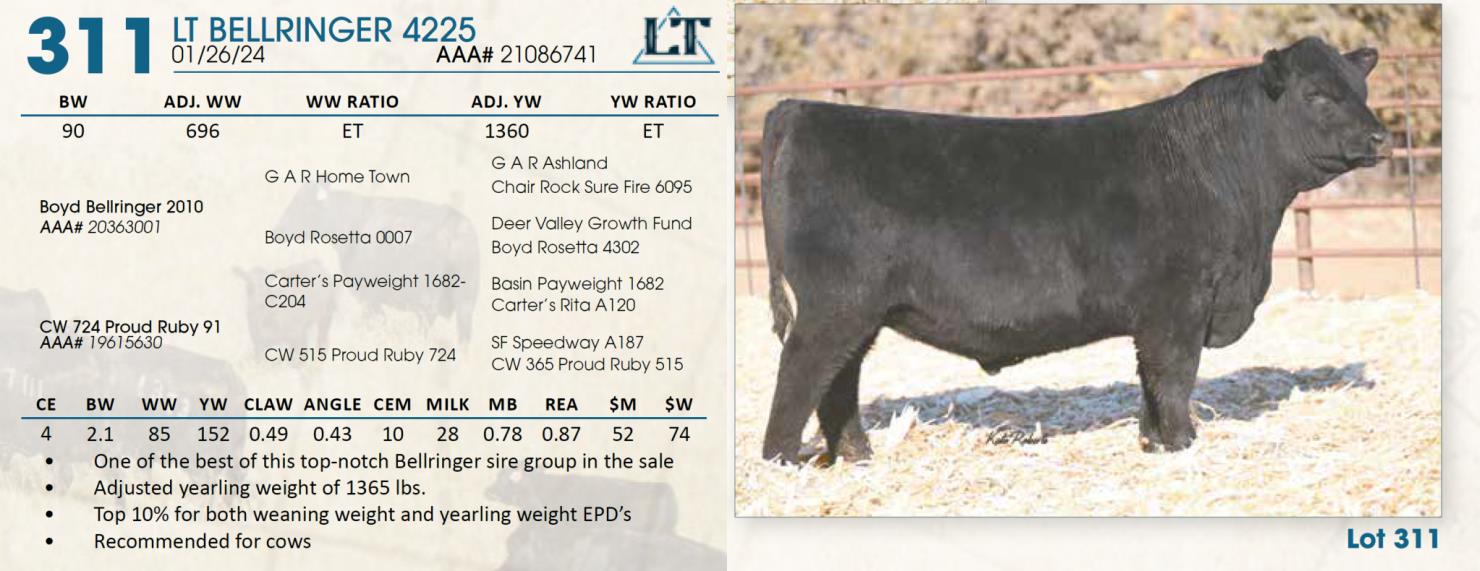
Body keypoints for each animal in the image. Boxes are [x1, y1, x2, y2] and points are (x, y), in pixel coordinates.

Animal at [759, 37, 1391, 464]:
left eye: (1360, 90)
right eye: (1317, 95)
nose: (1380, 137)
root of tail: (801, 108)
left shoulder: (1160, 312)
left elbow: (1149, 379)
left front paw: (1154, 443)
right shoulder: (1179, 301)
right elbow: (1174, 375)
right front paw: (1183, 443)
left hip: (860, 313)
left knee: (838, 382)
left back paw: (857, 457)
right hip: (836, 305)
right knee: (801, 373)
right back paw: (785, 462)